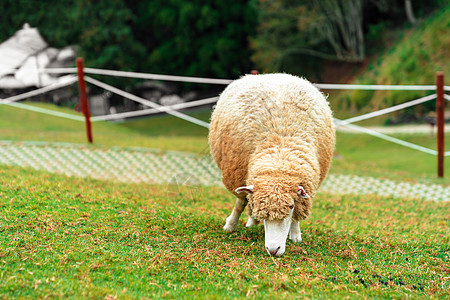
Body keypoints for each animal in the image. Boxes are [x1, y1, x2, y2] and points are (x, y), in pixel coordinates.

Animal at [207, 72, 334, 255]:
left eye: (290, 206)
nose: (273, 250)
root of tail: (274, 74)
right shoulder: (239, 174)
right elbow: (240, 203)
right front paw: (230, 225)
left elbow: (298, 214)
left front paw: (295, 234)